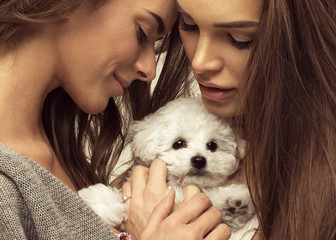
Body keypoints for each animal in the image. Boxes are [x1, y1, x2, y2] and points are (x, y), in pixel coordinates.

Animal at [79, 96, 258, 237]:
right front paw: (102, 202)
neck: (178, 186)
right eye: (178, 143)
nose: (199, 160)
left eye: (212, 145)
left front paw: (233, 199)